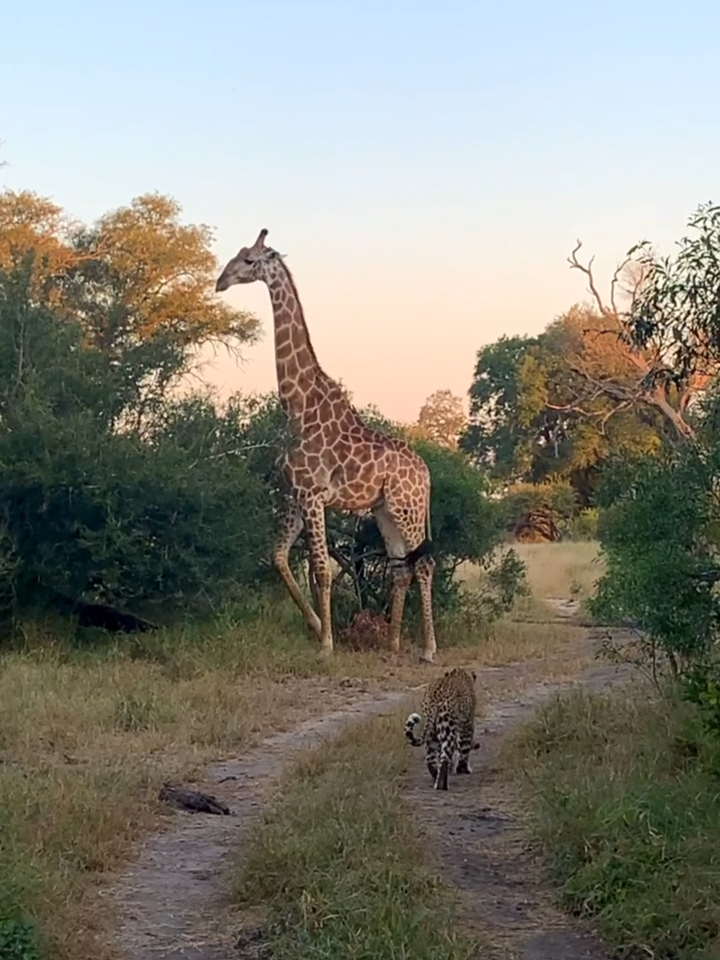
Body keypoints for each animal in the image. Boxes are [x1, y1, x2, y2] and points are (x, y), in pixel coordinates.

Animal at [214, 227, 438, 660]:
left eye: (249, 260)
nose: (220, 281)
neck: (297, 405)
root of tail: (427, 473)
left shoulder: (313, 494)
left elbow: (321, 569)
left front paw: (326, 645)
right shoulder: (295, 494)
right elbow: (279, 556)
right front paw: (317, 626)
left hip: (408, 507)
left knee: (424, 564)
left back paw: (428, 648)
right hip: (385, 511)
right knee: (401, 566)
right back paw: (393, 643)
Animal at [404, 664, 478, 792]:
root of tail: (433, 700)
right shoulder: (467, 725)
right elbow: (464, 748)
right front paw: (463, 769)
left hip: (433, 731)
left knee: (430, 758)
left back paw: (435, 776)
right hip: (446, 726)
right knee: (444, 757)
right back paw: (441, 785)